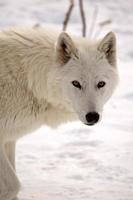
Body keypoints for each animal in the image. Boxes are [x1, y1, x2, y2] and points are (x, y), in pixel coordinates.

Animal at [0, 27, 119, 200]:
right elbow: (13, 186)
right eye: (76, 83)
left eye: (101, 84)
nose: (92, 116)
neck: (29, 80)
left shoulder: (9, 138)